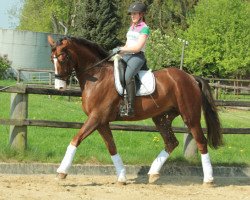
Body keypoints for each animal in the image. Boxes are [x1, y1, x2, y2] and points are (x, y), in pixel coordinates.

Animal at [47, 35, 222, 184]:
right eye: (51, 59)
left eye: (62, 58)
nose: (59, 87)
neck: (97, 75)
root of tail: (191, 77)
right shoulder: (101, 121)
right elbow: (112, 147)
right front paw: (122, 177)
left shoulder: (96, 118)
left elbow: (76, 139)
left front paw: (62, 171)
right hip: (161, 118)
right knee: (171, 142)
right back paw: (153, 173)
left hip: (190, 116)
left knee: (201, 141)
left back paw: (209, 179)